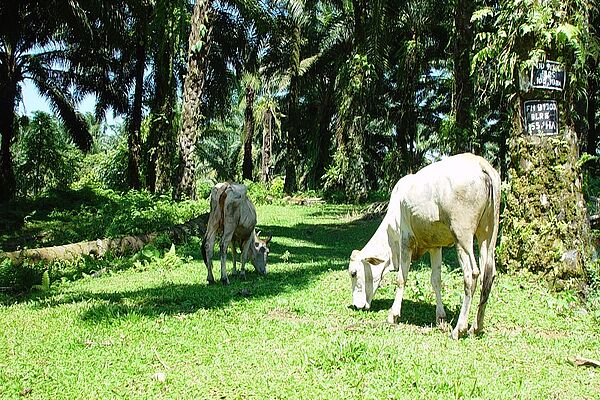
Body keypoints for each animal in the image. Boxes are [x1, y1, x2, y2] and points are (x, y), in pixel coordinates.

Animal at [350, 152, 500, 338]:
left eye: (354, 273)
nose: (356, 305)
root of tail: (480, 163)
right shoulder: (435, 246)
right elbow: (436, 280)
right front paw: (440, 318)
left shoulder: (406, 240)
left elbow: (401, 278)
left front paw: (393, 315)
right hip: (488, 234)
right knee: (488, 275)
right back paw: (476, 327)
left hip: (462, 235)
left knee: (471, 274)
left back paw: (459, 329)